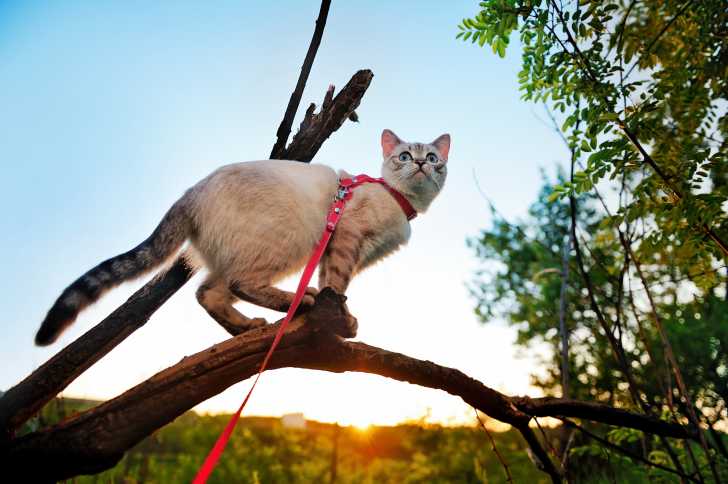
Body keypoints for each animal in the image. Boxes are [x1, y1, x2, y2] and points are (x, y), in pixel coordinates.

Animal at [37, 130, 452, 346]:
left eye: (433, 158)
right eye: (403, 156)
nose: (420, 163)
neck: (401, 201)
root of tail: (192, 192)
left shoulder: (341, 251)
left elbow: (335, 286)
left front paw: (340, 318)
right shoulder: (345, 241)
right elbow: (335, 286)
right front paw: (342, 321)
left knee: (206, 293)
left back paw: (247, 326)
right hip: (290, 239)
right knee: (240, 284)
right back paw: (297, 302)